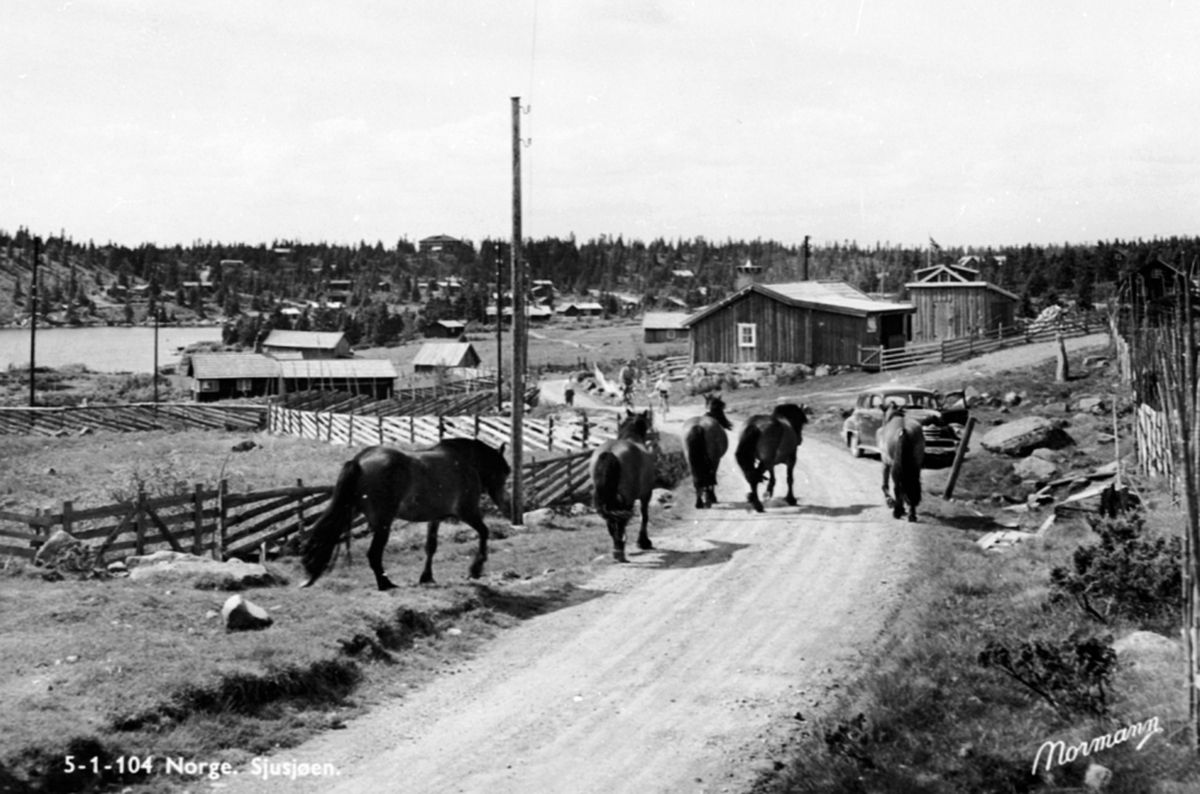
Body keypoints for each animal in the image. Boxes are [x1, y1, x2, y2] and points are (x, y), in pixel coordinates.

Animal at [302, 436, 508, 590]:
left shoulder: (435, 518)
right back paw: (385, 584)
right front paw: (476, 568)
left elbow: (430, 547)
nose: (504, 502)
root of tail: (360, 460)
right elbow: (484, 532)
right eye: (505, 472)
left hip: (350, 512)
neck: (465, 461)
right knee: (374, 553)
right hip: (383, 523)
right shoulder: (467, 512)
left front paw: (426, 577)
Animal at [592, 412, 662, 563]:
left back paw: (617, 549)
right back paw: (620, 550)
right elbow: (644, 515)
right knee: (619, 522)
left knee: (611, 521)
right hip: (627, 499)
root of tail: (610, 452)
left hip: (606, 498)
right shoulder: (646, 494)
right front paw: (643, 541)